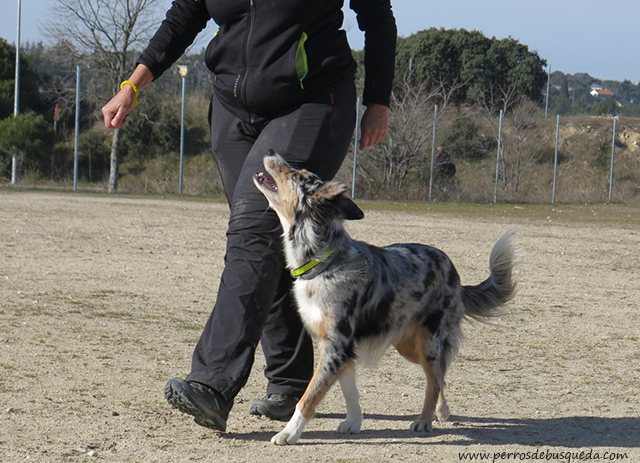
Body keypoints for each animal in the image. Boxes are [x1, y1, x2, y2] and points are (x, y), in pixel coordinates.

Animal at [252, 151, 516, 446]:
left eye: (296, 174)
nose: (270, 152)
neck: (324, 261)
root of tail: (453, 271)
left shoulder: (336, 346)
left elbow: (309, 396)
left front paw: (289, 433)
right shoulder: (340, 348)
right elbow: (349, 390)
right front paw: (353, 422)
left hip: (429, 342)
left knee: (434, 379)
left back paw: (424, 420)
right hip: (408, 345)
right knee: (439, 375)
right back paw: (441, 410)